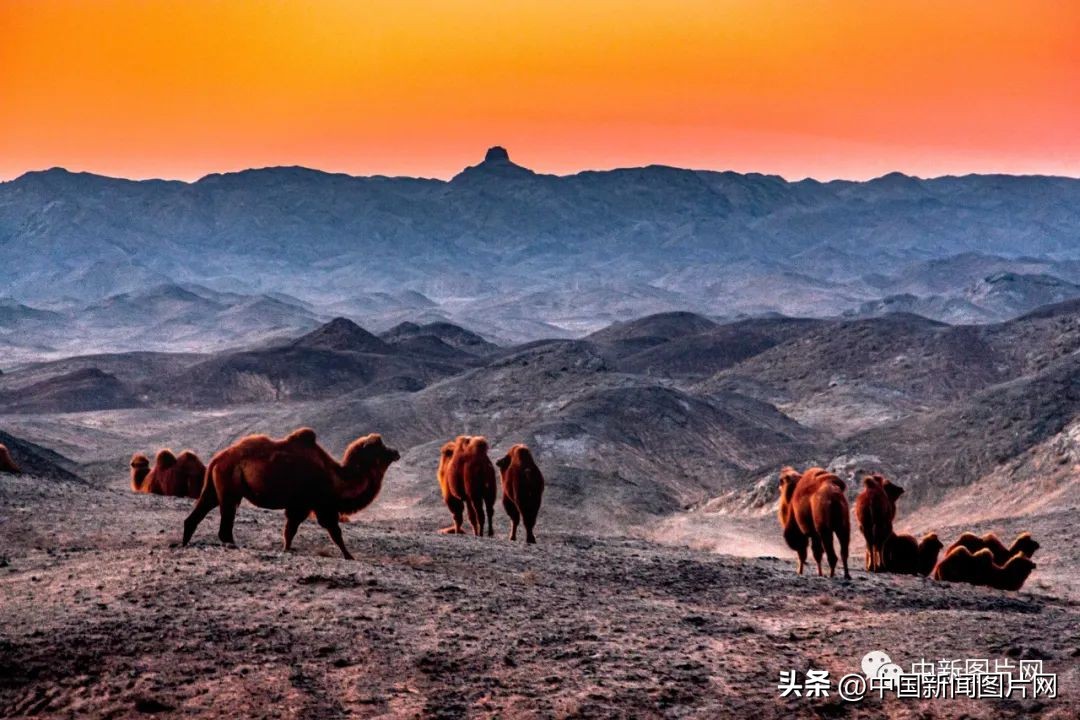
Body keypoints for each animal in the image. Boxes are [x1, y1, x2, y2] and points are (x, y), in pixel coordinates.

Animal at [181, 425, 401, 561]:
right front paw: (349, 556)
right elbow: (332, 531)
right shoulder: (315, 505)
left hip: (214, 488)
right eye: (380, 447)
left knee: (196, 515)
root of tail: (217, 459)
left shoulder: (303, 506)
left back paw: (184, 544)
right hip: (229, 488)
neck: (336, 478)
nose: (396, 452)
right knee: (225, 522)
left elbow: (290, 530)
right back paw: (231, 545)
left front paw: (286, 549)